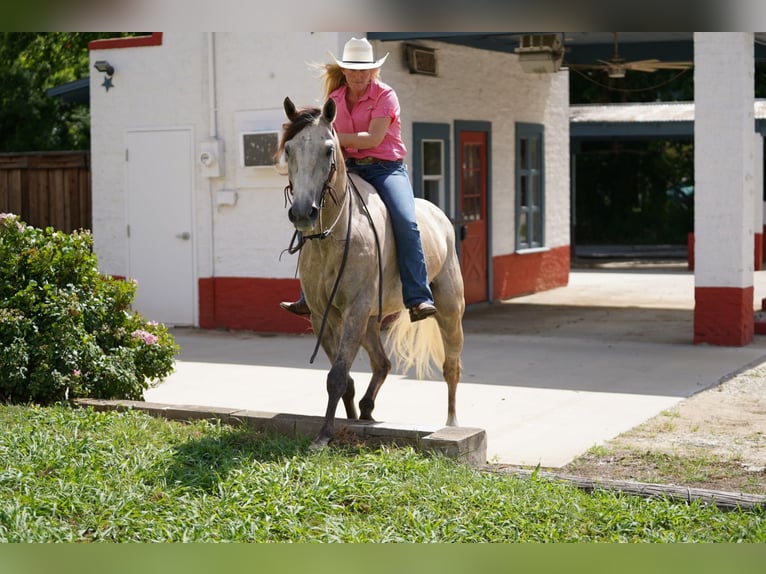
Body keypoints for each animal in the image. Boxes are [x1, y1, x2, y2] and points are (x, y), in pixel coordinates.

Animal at [280, 98, 464, 450]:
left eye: (328, 150)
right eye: (288, 149)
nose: (303, 213)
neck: (333, 237)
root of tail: (440, 217)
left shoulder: (354, 310)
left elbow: (337, 376)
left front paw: (324, 435)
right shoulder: (322, 316)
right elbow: (345, 378)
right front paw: (347, 421)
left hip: (449, 310)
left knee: (451, 368)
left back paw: (451, 424)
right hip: (371, 321)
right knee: (382, 363)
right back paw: (366, 410)